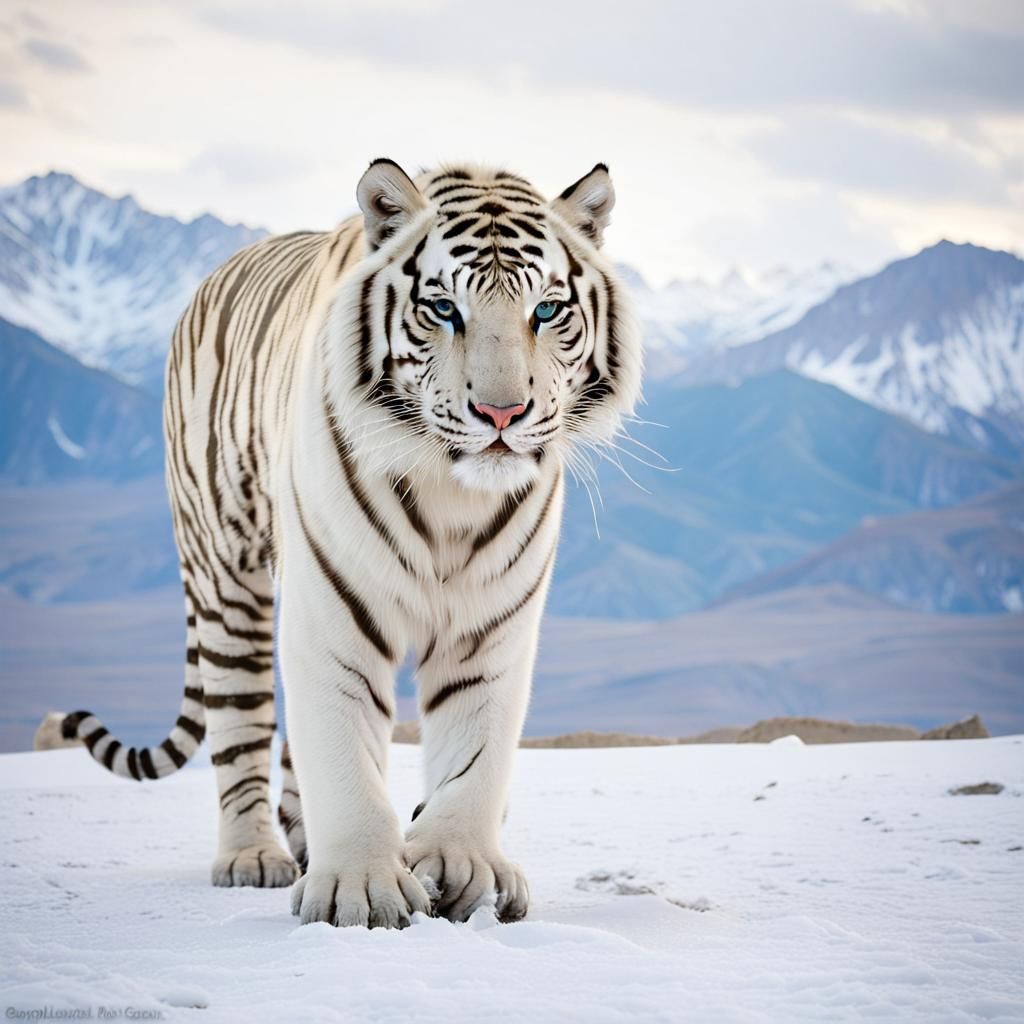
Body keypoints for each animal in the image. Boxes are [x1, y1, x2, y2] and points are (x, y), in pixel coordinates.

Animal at [51, 159, 642, 928]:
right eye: (443, 309)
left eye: (545, 311)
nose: (501, 413)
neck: (451, 493)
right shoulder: (333, 608)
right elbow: (341, 749)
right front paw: (360, 888)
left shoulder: (493, 621)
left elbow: (477, 749)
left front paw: (465, 869)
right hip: (224, 573)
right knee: (240, 723)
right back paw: (253, 857)